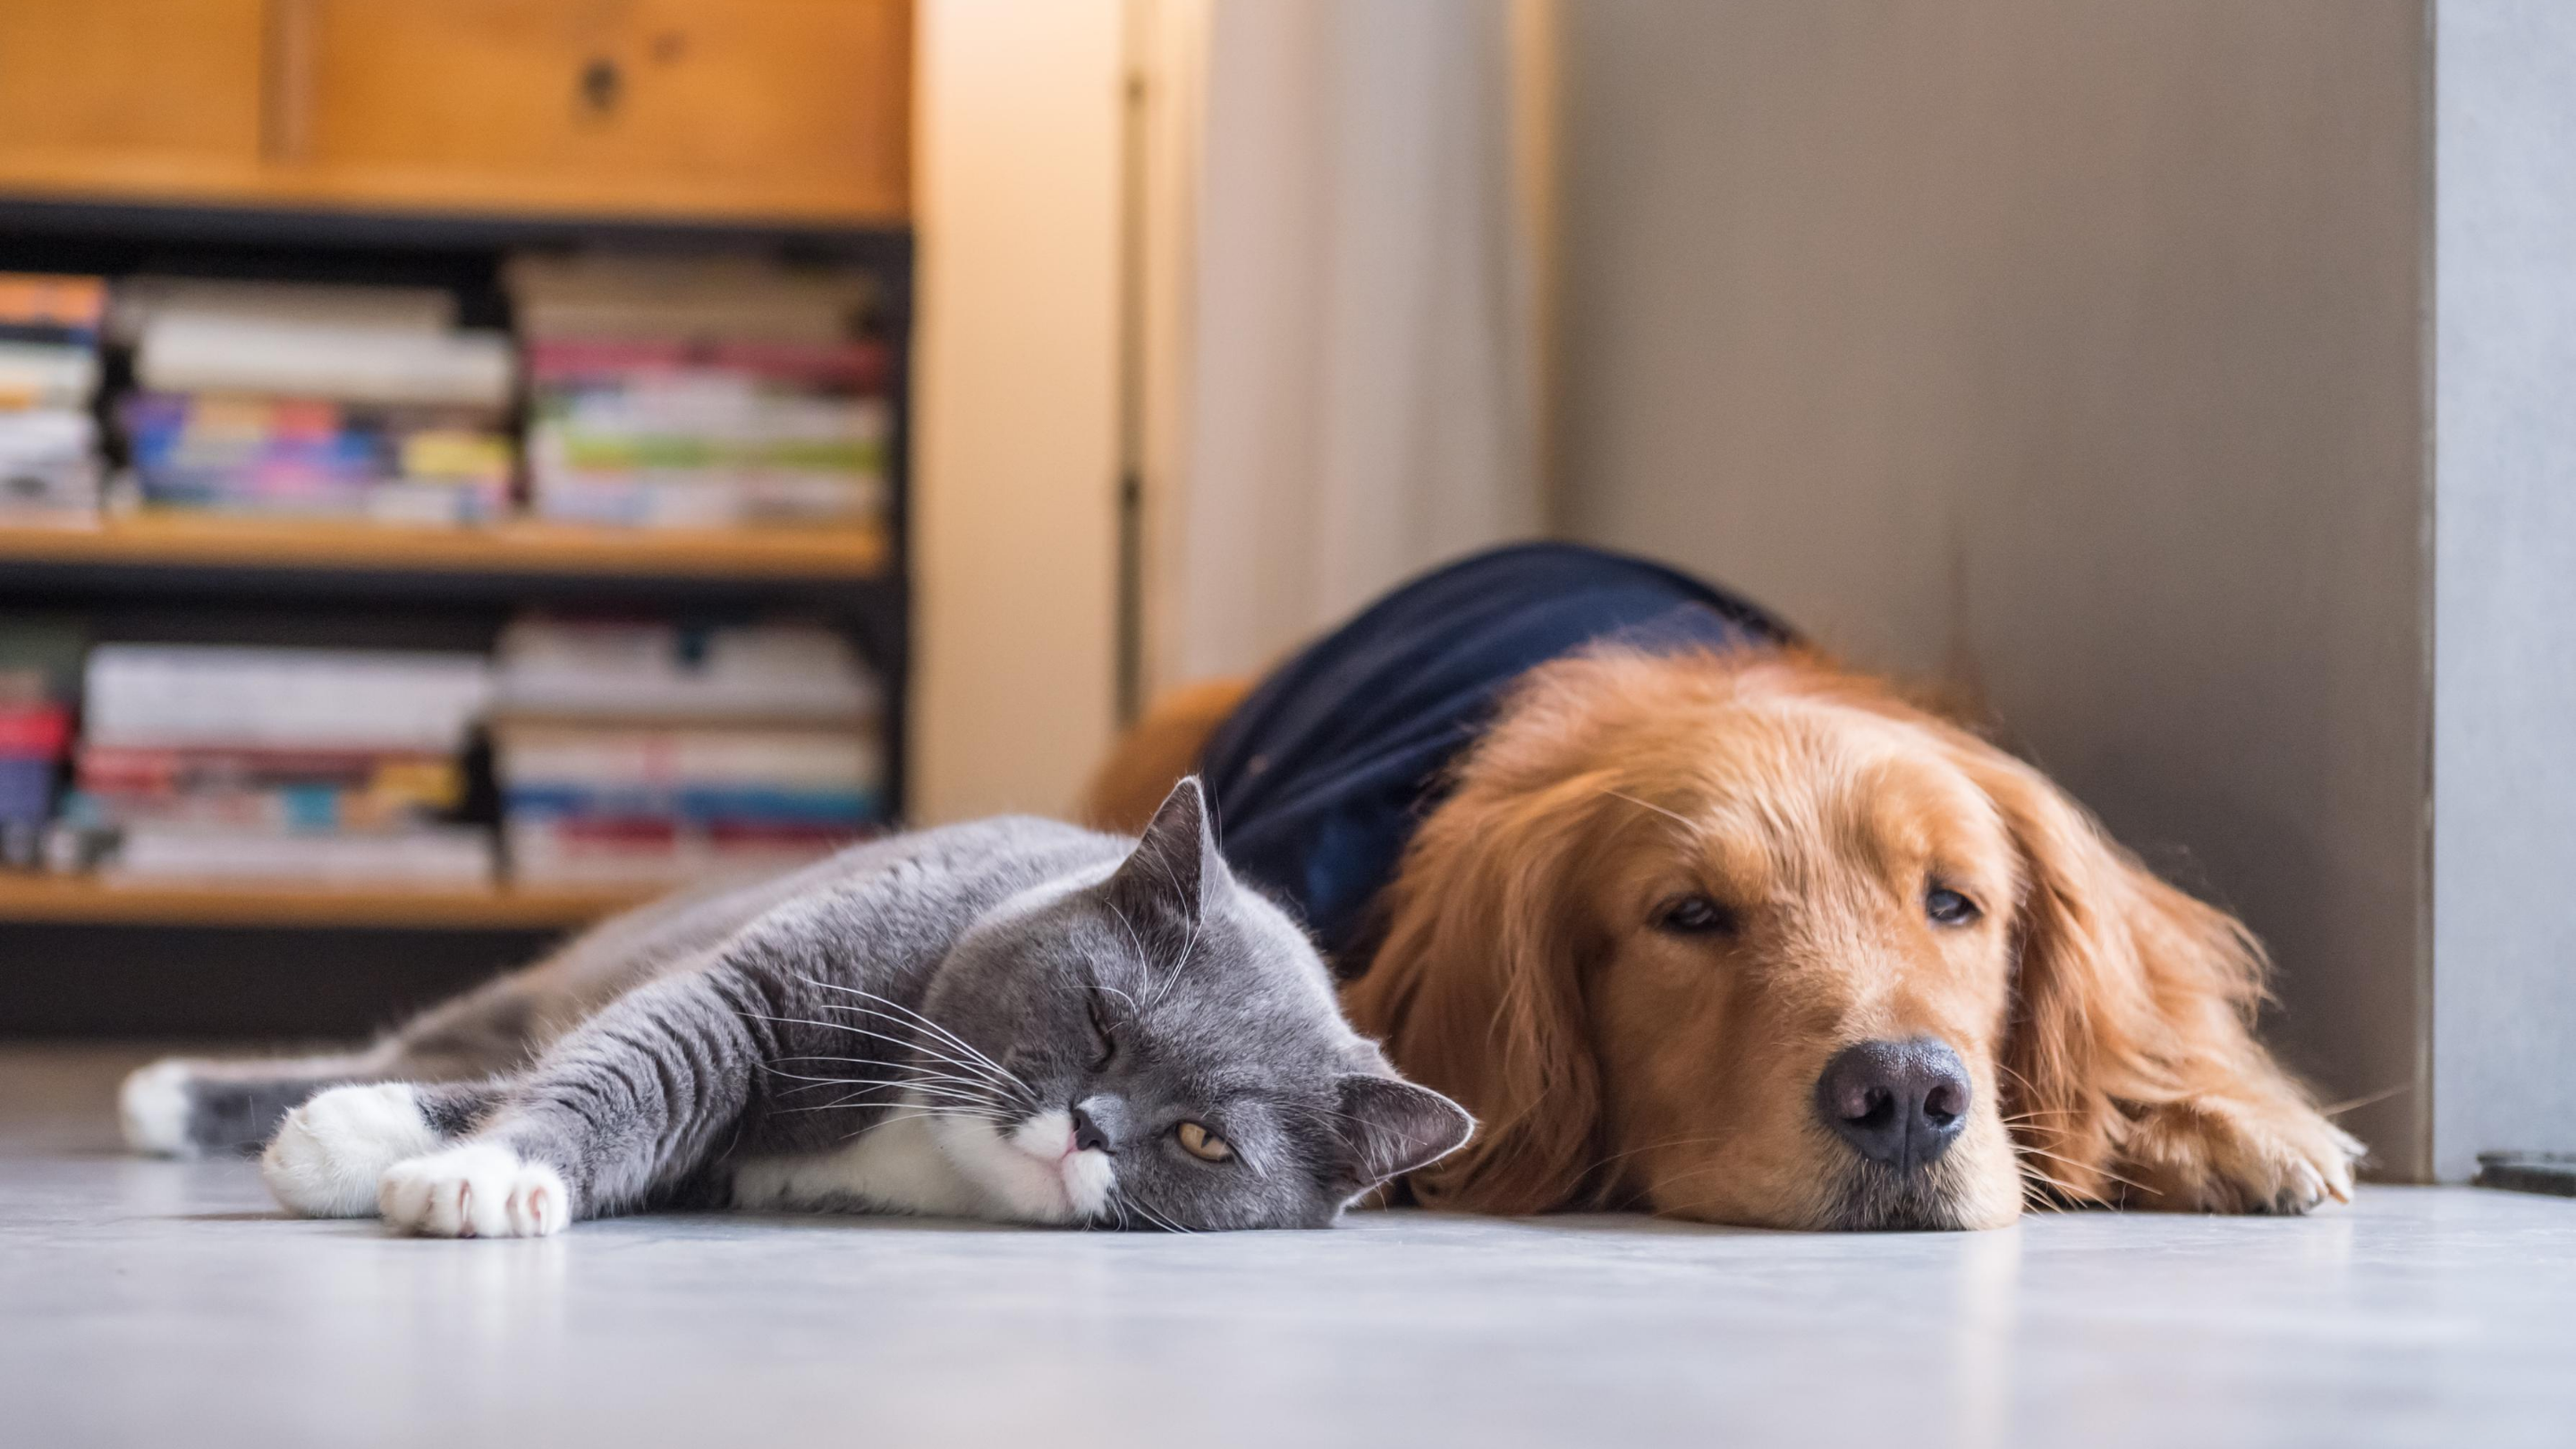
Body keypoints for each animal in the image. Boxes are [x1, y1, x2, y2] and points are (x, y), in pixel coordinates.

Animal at [121, 778, 1483, 1227]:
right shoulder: (752, 990)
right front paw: (470, 1170)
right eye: (1104, 1021)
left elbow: (618, 1114)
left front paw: (403, 1154)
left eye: (1202, 1139)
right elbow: (619, 1068)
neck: (922, 1147)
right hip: (558, 976)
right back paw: (167, 1094)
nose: (1088, 1126)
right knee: (456, 1032)